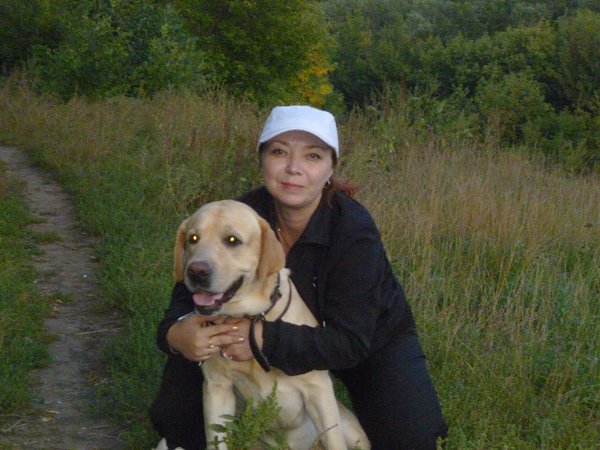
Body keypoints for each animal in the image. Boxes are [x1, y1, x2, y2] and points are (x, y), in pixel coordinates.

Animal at [172, 200, 370, 450]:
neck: (250, 317)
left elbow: (334, 441)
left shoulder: (319, 389)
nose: (196, 271)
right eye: (193, 238)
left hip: (352, 432)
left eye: (232, 240)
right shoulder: (217, 388)